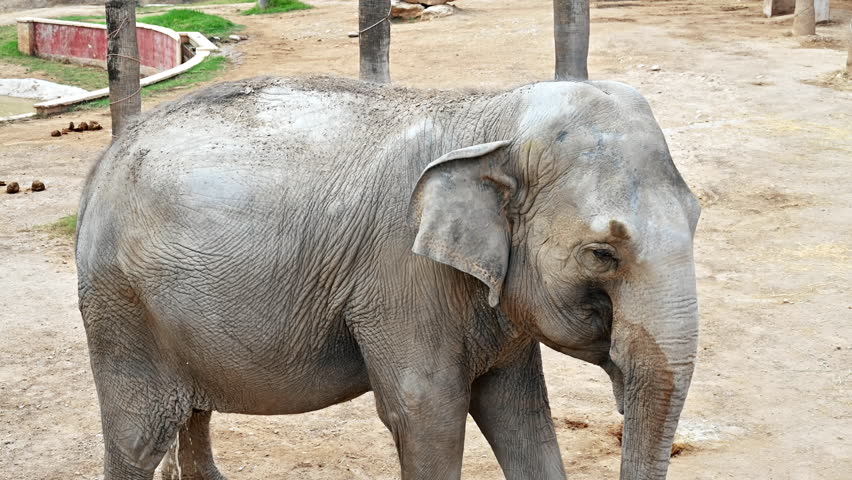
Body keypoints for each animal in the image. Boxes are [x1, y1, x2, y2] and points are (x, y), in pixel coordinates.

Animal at [75, 76, 701, 480]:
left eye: (697, 219)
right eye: (602, 254)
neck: (493, 117)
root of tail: (103, 160)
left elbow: (519, 413)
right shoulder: (401, 277)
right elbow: (426, 414)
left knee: (192, 414)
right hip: (120, 307)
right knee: (136, 437)